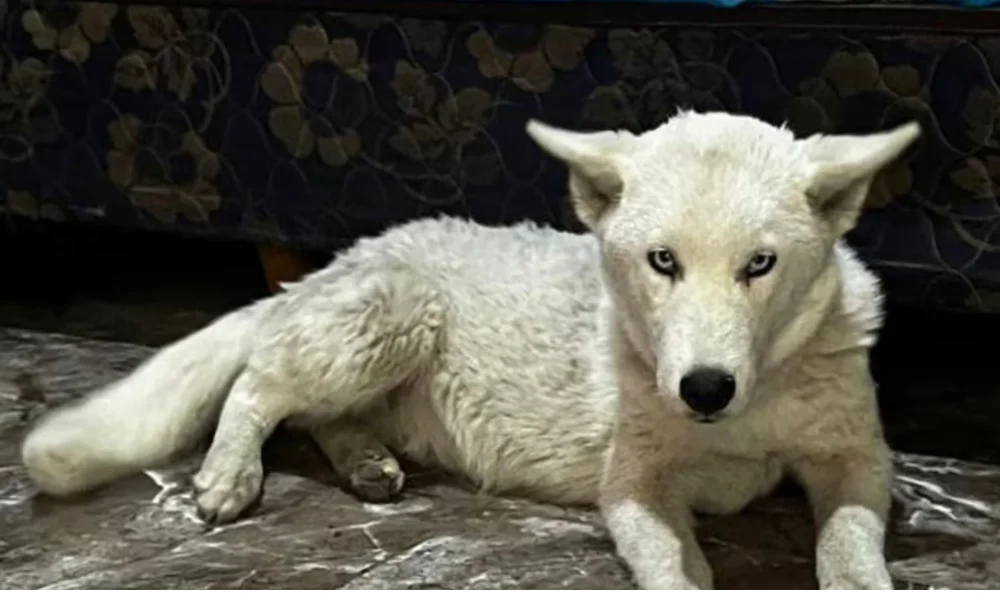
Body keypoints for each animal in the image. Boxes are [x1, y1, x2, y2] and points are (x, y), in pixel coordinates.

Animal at [20, 111, 919, 589]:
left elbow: (848, 543)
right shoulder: (634, 484)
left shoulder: (856, 459)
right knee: (258, 386)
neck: (752, 406)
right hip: (391, 316)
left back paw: (366, 465)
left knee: (317, 416)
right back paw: (228, 475)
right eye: (661, 261)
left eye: (760, 265)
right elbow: (672, 565)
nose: (703, 389)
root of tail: (348, 255)